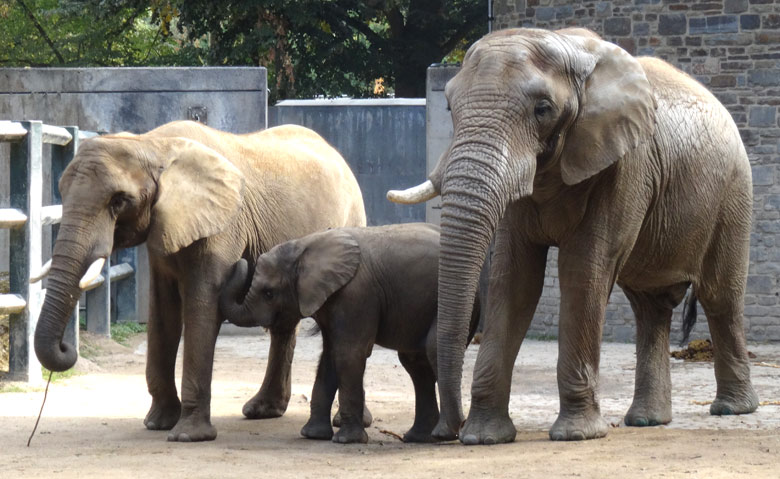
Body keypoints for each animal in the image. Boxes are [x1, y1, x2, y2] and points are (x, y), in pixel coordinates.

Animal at [32, 120, 368, 442]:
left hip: (353, 218)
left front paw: (186, 435)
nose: (67, 348)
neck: (152, 145)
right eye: (61, 192)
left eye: (118, 201)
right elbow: (163, 313)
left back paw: (344, 422)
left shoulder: (222, 226)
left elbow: (201, 307)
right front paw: (157, 423)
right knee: (283, 324)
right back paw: (262, 410)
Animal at [219, 223, 482, 444]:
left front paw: (346, 440)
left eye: (269, 293)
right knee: (416, 364)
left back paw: (440, 435)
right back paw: (418, 438)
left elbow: (348, 354)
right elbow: (329, 357)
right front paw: (313, 435)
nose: (239, 262)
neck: (305, 246)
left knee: (431, 351)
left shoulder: (356, 294)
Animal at [386, 27, 760, 446]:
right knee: (650, 306)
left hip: (734, 192)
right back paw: (647, 420)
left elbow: (583, 270)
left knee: (719, 296)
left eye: (543, 109)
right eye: (450, 107)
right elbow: (515, 280)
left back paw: (731, 408)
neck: (565, 45)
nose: (448, 431)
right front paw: (484, 438)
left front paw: (576, 435)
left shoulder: (624, 164)